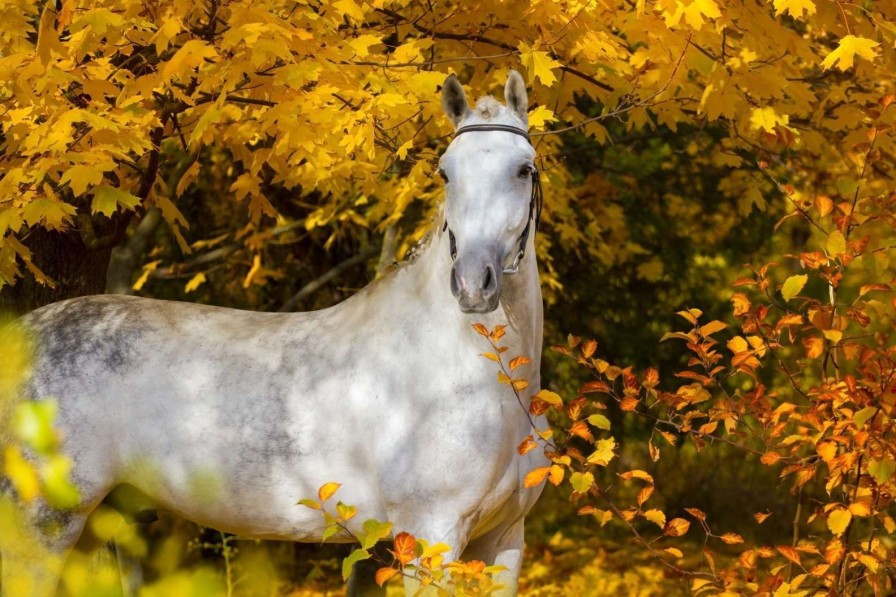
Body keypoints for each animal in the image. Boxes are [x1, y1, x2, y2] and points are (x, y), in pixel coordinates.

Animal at [1, 72, 544, 592]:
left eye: (524, 169)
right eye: (445, 172)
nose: (473, 283)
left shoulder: (504, 538)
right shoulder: (431, 535)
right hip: (42, 526)